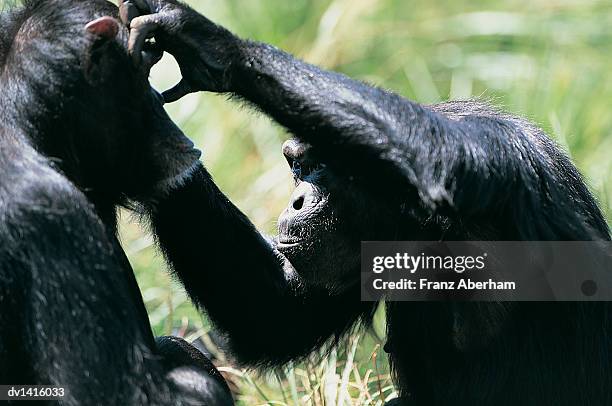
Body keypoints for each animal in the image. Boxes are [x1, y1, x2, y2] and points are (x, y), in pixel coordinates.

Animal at [119, 0, 612, 406]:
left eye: (319, 167)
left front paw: (208, 43)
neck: (426, 228)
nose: (297, 200)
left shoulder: (494, 161)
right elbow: (275, 317)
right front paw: (144, 122)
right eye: (297, 168)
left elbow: (441, 158)